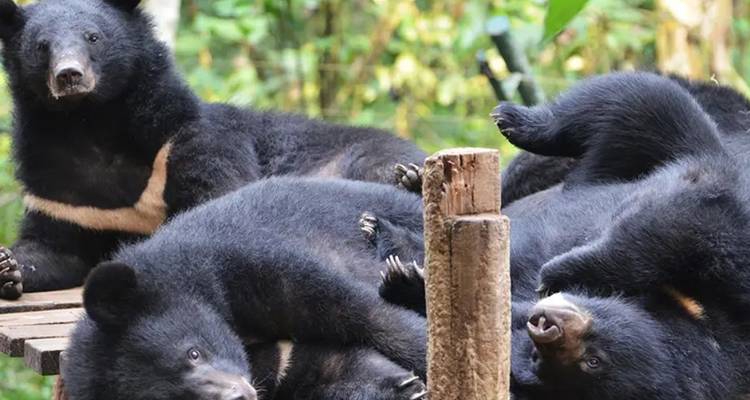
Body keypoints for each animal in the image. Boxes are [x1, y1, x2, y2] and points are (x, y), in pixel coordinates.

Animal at [0, 0, 427, 299]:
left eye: (93, 37)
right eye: (42, 47)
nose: (69, 76)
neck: (92, 123)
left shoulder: (189, 139)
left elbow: (219, 197)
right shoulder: (63, 191)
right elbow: (55, 248)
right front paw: (8, 267)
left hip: (357, 156)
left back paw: (410, 180)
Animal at [63, 177, 428, 400]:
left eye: (193, 352)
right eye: (173, 398)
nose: (240, 394)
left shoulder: (251, 264)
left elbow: (367, 316)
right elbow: (326, 366)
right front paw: (403, 386)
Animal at [369, 72, 750, 399]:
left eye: (592, 361)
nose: (547, 326)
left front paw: (406, 279)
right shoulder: (716, 209)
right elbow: (667, 224)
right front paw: (558, 271)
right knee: (640, 101)